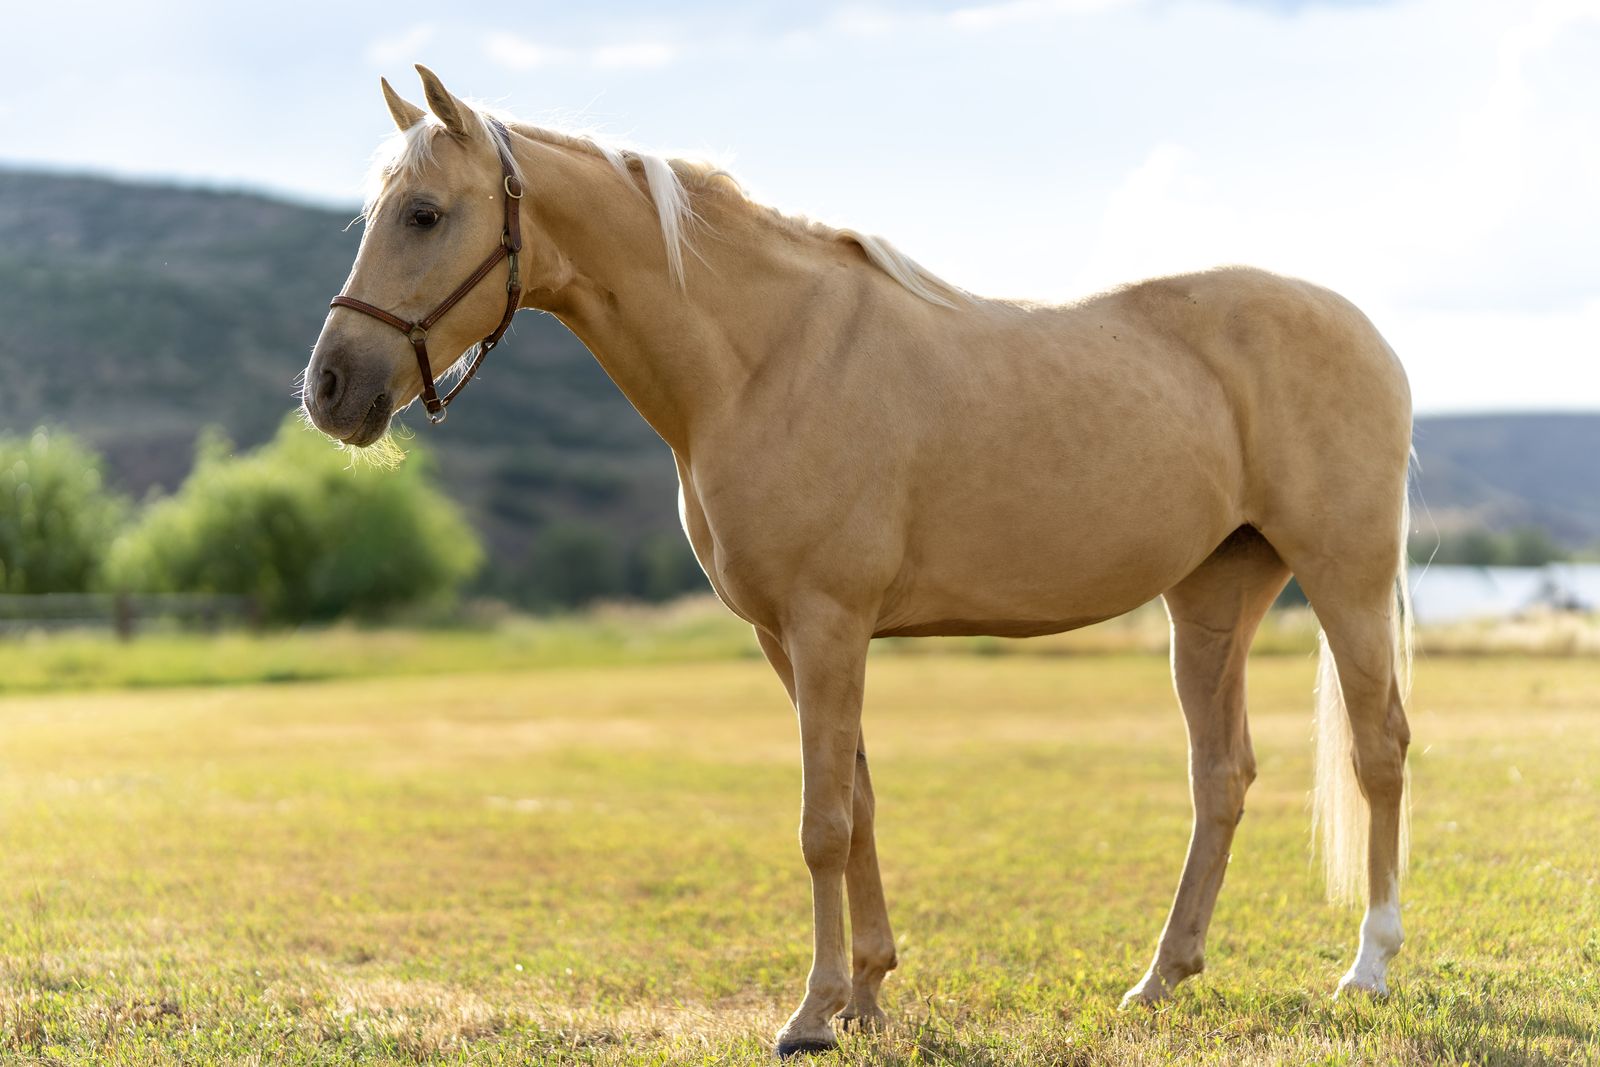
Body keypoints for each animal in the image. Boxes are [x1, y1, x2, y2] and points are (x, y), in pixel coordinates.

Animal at [303, 66, 1414, 1057]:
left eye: (425, 215)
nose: (329, 389)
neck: (762, 356)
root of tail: (1369, 334)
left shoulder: (827, 623)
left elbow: (823, 821)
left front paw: (811, 1013)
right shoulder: (789, 638)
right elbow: (862, 801)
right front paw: (868, 995)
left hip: (1345, 581)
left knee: (1379, 751)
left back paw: (1367, 966)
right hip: (1213, 597)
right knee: (1219, 775)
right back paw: (1159, 979)